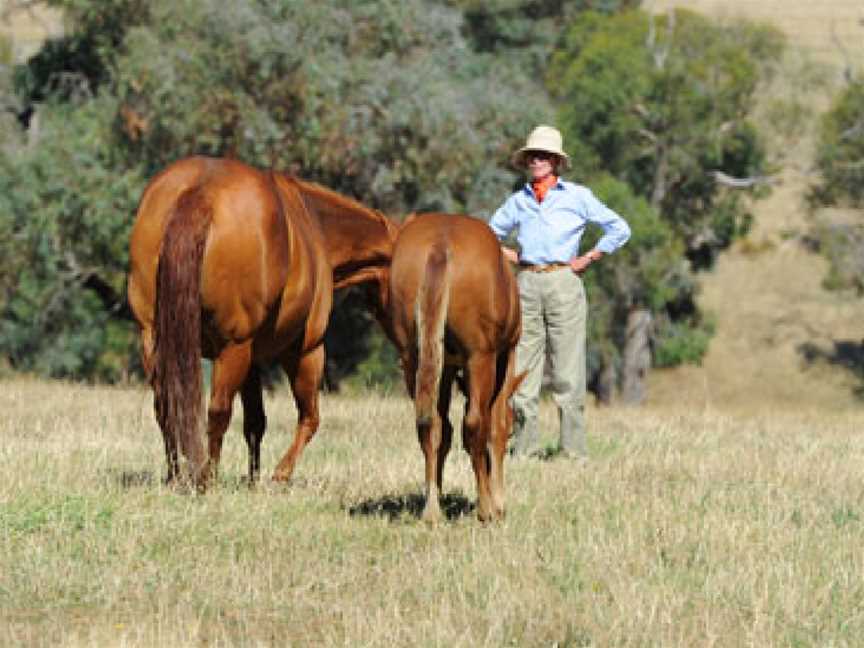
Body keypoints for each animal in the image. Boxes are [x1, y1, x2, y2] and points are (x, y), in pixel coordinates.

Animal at [126, 158, 396, 492]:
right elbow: (309, 418)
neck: (316, 225)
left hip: (154, 339)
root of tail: (201, 190)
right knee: (218, 412)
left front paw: (253, 481)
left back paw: (176, 477)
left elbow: (255, 422)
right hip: (235, 349)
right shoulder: (305, 351)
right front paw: (279, 475)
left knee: (166, 408)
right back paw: (206, 479)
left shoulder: (251, 361)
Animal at [386, 213, 524, 520]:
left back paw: (432, 510)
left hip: (414, 358)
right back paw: (485, 509)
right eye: (513, 429)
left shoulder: (446, 369)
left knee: (429, 425)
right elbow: (494, 426)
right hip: (480, 358)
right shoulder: (505, 356)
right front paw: (498, 502)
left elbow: (444, 431)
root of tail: (440, 245)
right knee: (474, 423)